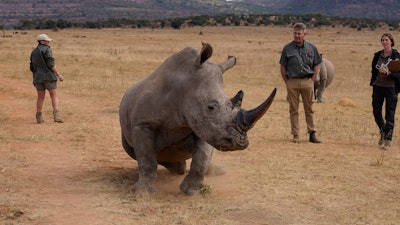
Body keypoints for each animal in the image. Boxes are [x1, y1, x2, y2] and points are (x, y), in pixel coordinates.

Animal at [117, 42, 276, 195]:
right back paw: (178, 167)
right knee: (135, 152)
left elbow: (202, 157)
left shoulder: (206, 126)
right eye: (211, 107)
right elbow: (147, 159)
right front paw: (142, 192)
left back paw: (212, 171)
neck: (183, 87)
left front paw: (192, 191)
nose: (239, 143)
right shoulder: (143, 124)